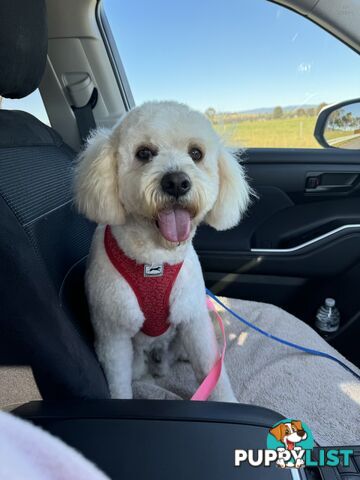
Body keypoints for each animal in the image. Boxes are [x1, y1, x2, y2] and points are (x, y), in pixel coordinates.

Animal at [74, 100, 250, 402]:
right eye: (144, 153)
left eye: (196, 153)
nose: (177, 182)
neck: (153, 259)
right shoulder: (113, 335)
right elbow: (118, 384)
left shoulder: (194, 321)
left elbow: (212, 373)